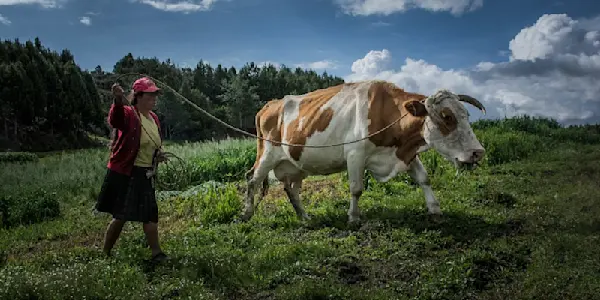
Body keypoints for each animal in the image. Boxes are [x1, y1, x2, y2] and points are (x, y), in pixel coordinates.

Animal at [239, 79, 488, 223]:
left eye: (466, 115)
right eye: (447, 117)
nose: (478, 152)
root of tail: (269, 105)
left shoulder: (405, 153)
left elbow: (424, 179)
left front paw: (435, 210)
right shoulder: (355, 154)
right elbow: (356, 188)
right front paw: (353, 218)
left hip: (296, 163)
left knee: (290, 188)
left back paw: (304, 216)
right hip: (267, 153)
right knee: (252, 179)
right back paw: (246, 214)